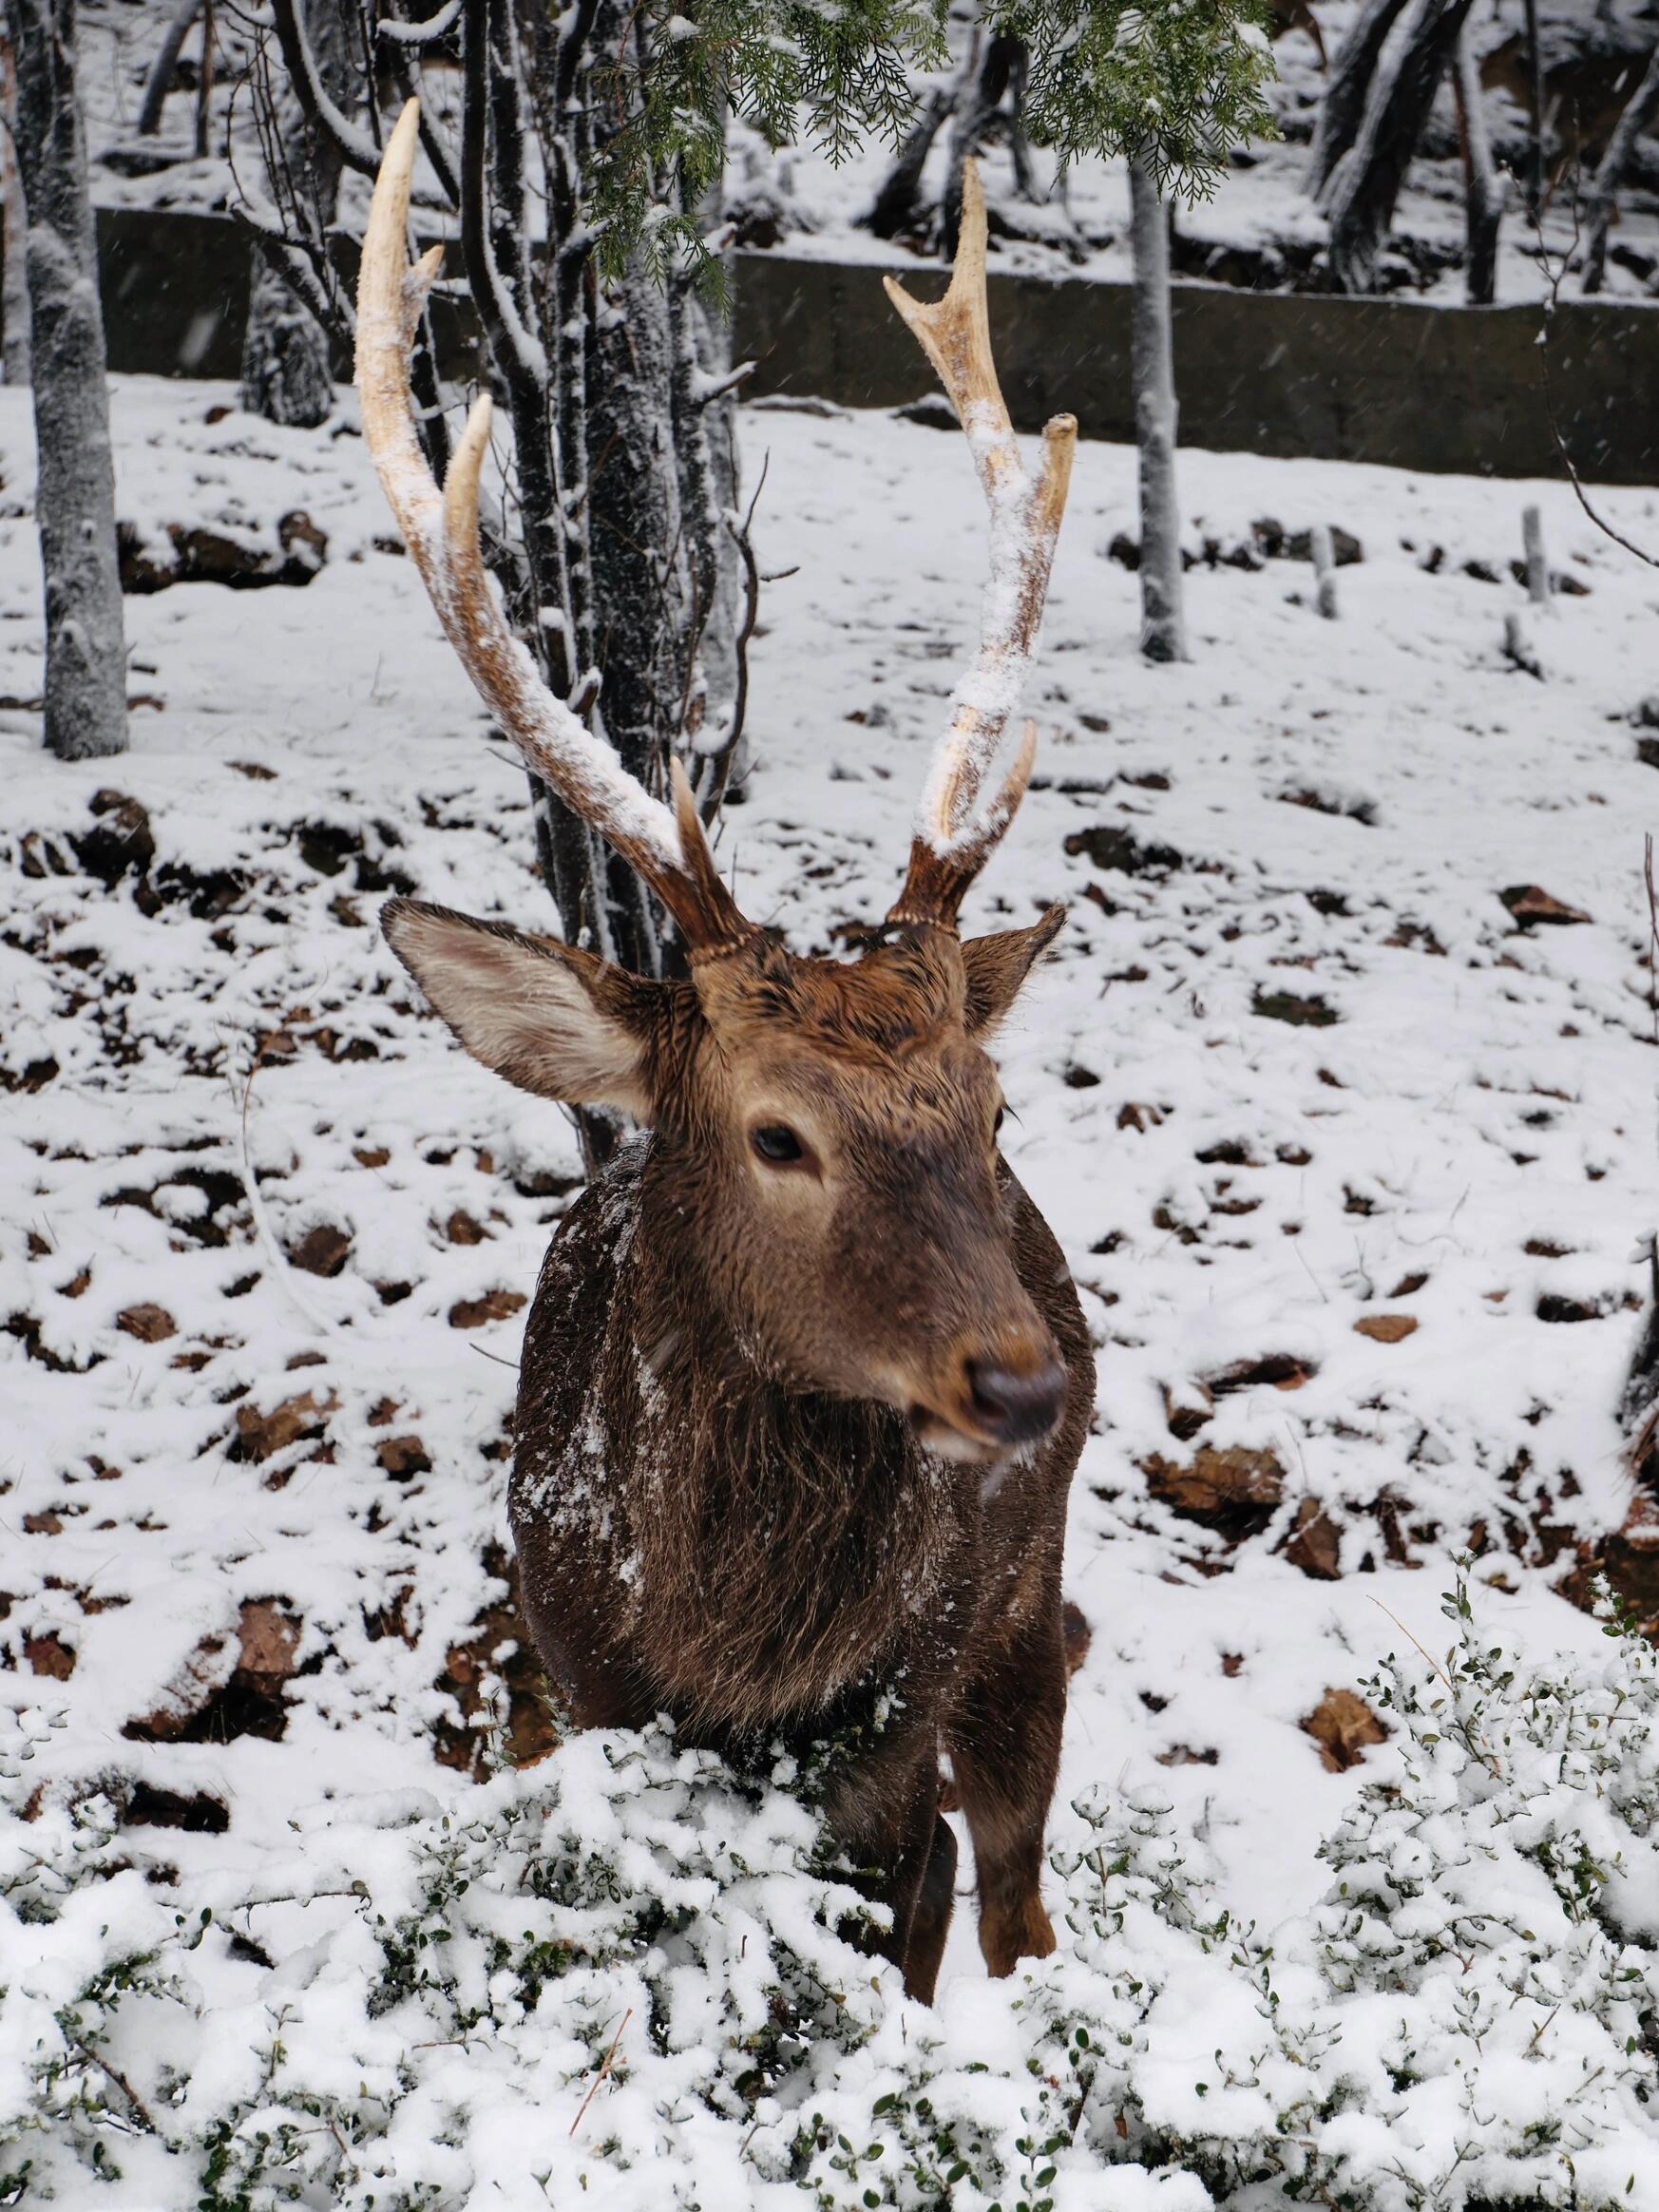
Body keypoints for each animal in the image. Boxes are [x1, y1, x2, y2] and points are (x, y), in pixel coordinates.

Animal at [356, 101, 1092, 2004]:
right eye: (776, 1134)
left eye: (993, 1110)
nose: (1021, 1382)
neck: (723, 1654)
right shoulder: (572, 1670)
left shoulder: (900, 1720)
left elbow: (906, 1912)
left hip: (1022, 1603)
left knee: (1013, 1872)